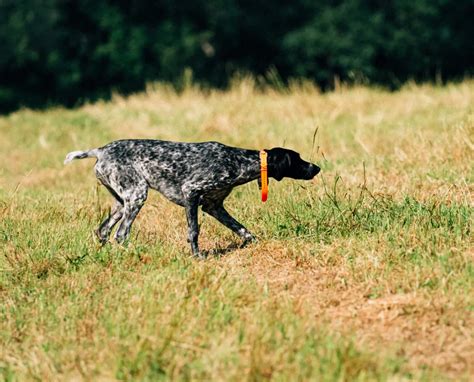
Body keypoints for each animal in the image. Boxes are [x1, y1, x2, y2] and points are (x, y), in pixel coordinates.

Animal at [64, 139, 322, 258]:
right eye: (298, 159)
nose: (317, 168)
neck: (238, 161)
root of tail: (100, 150)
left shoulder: (214, 206)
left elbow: (243, 230)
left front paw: (257, 244)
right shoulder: (191, 193)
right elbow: (194, 232)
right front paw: (197, 257)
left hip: (121, 202)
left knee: (103, 230)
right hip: (137, 196)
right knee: (121, 233)